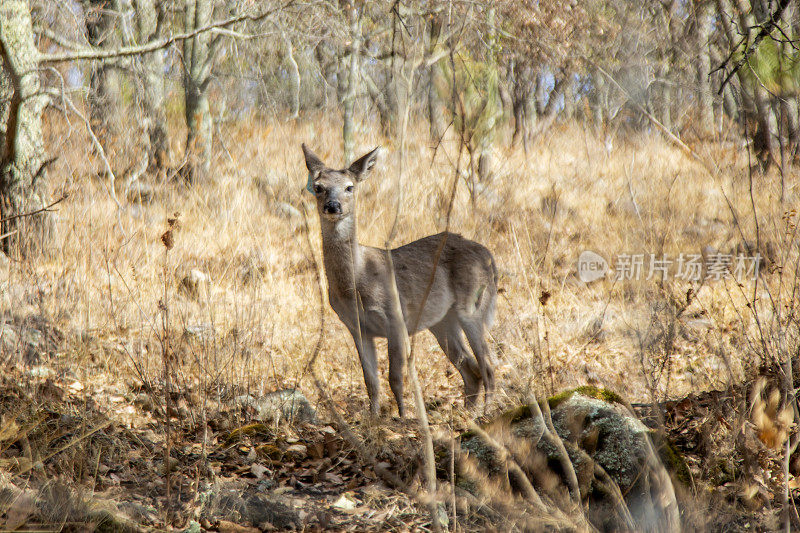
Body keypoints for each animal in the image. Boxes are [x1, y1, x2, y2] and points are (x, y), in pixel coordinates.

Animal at [304, 144, 496, 416]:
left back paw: (486, 412)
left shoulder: (395, 317)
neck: (355, 284)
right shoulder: (356, 327)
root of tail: (488, 255)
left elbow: (395, 377)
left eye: (350, 187)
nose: (333, 206)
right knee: (471, 369)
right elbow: (370, 380)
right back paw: (468, 412)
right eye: (319, 187)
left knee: (487, 365)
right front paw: (373, 418)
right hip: (443, 322)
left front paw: (403, 416)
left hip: (473, 304)